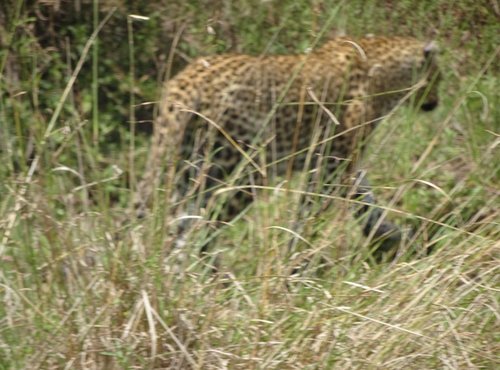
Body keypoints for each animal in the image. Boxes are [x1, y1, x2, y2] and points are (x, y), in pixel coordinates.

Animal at [135, 34, 440, 260]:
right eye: (440, 75)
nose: (436, 102)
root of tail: (184, 85)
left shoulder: (337, 162)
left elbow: (367, 201)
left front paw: (393, 238)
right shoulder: (332, 165)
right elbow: (310, 215)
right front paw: (296, 260)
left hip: (185, 170)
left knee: (176, 226)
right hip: (242, 171)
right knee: (196, 230)